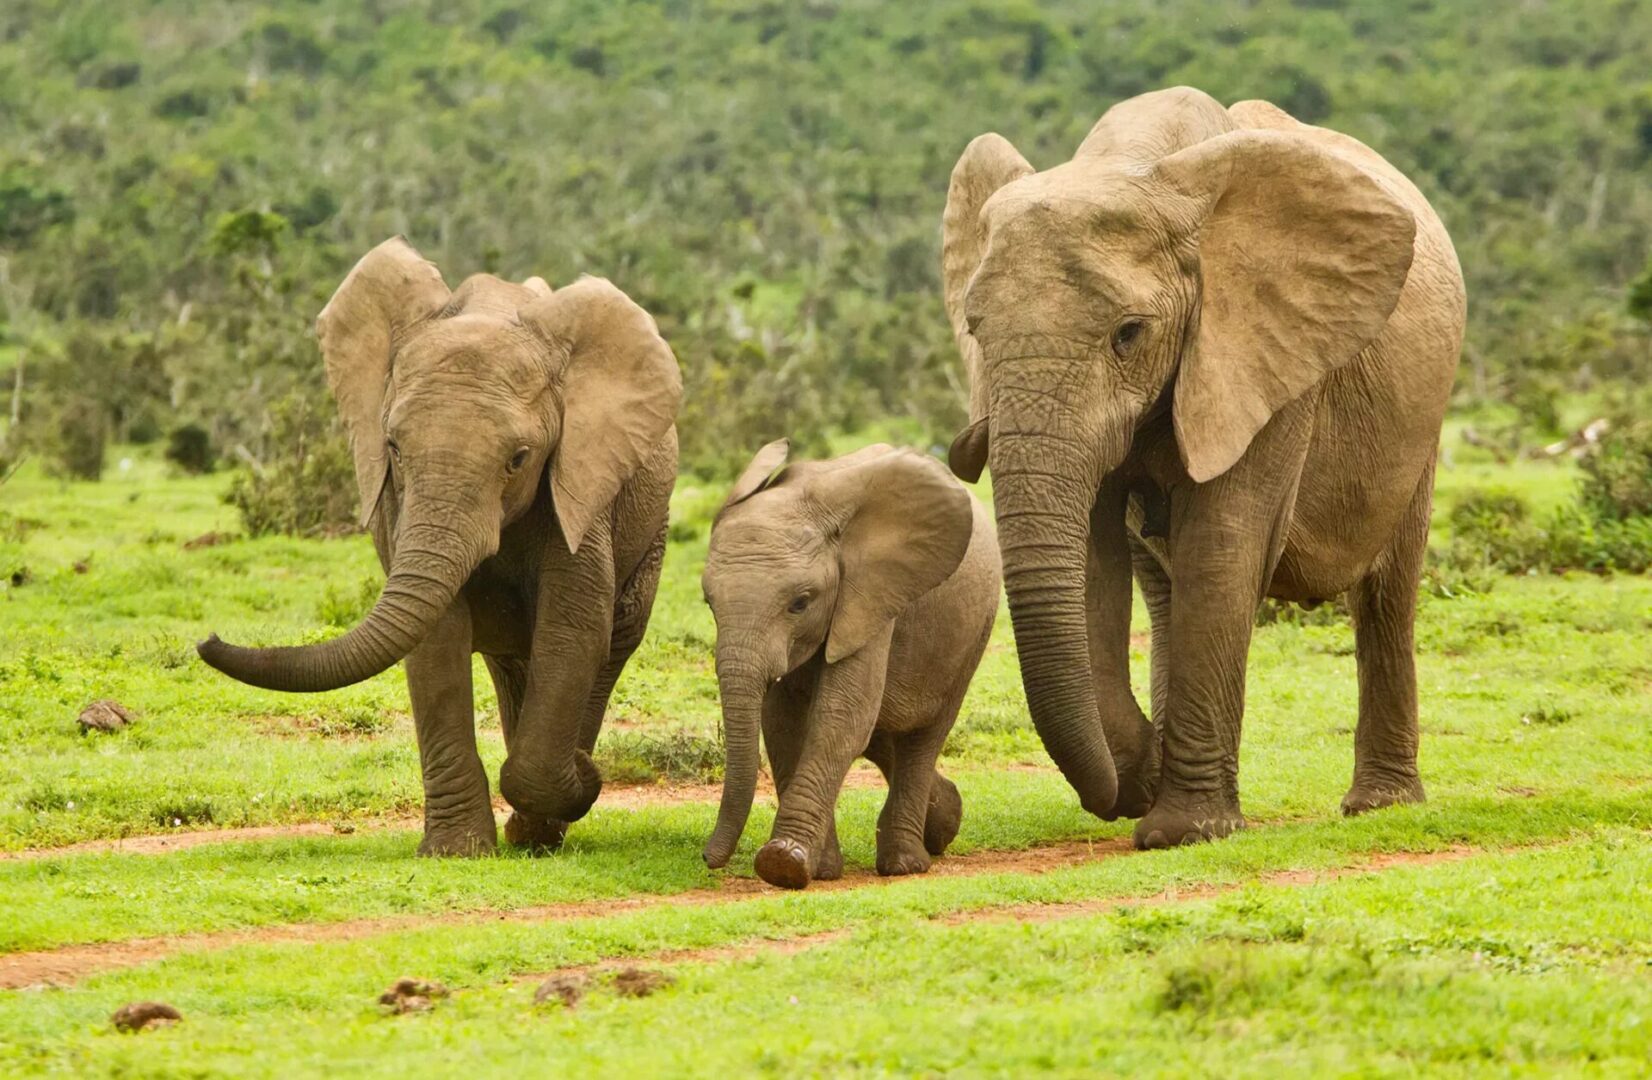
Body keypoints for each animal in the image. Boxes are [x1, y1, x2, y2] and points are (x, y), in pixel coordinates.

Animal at [198, 237, 682, 856]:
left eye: (519, 458)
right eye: (394, 448)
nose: (207, 637)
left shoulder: (581, 488)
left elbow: (573, 630)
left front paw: (570, 787)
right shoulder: (396, 504)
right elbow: (435, 640)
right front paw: (458, 852)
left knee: (608, 646)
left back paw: (544, 818)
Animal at [700, 440, 1001, 889]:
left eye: (800, 603)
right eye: (708, 603)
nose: (708, 858)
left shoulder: (871, 595)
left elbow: (840, 717)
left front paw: (783, 863)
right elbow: (783, 723)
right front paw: (818, 869)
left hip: (973, 631)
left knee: (923, 737)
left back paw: (905, 864)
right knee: (883, 733)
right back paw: (946, 821)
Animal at [941, 87, 1465, 849]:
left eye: (1128, 334)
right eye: (975, 331)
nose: (1126, 788)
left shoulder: (1262, 351)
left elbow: (1223, 545)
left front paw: (1184, 831)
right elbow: (1096, 557)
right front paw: (1148, 777)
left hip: (1421, 419)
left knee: (1387, 592)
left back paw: (1380, 805)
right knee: (1163, 588)